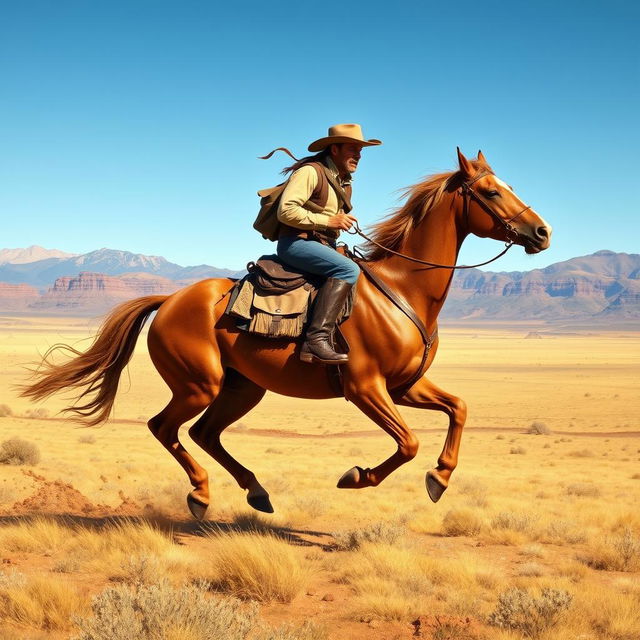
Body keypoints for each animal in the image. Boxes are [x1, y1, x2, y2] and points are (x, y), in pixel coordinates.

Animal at [20, 150, 552, 520]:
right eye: (491, 193)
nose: (542, 232)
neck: (404, 290)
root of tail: (169, 300)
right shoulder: (366, 388)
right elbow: (407, 444)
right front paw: (357, 477)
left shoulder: (406, 385)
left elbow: (458, 409)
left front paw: (440, 478)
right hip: (199, 384)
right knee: (166, 428)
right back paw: (201, 494)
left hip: (243, 387)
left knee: (204, 433)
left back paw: (256, 491)